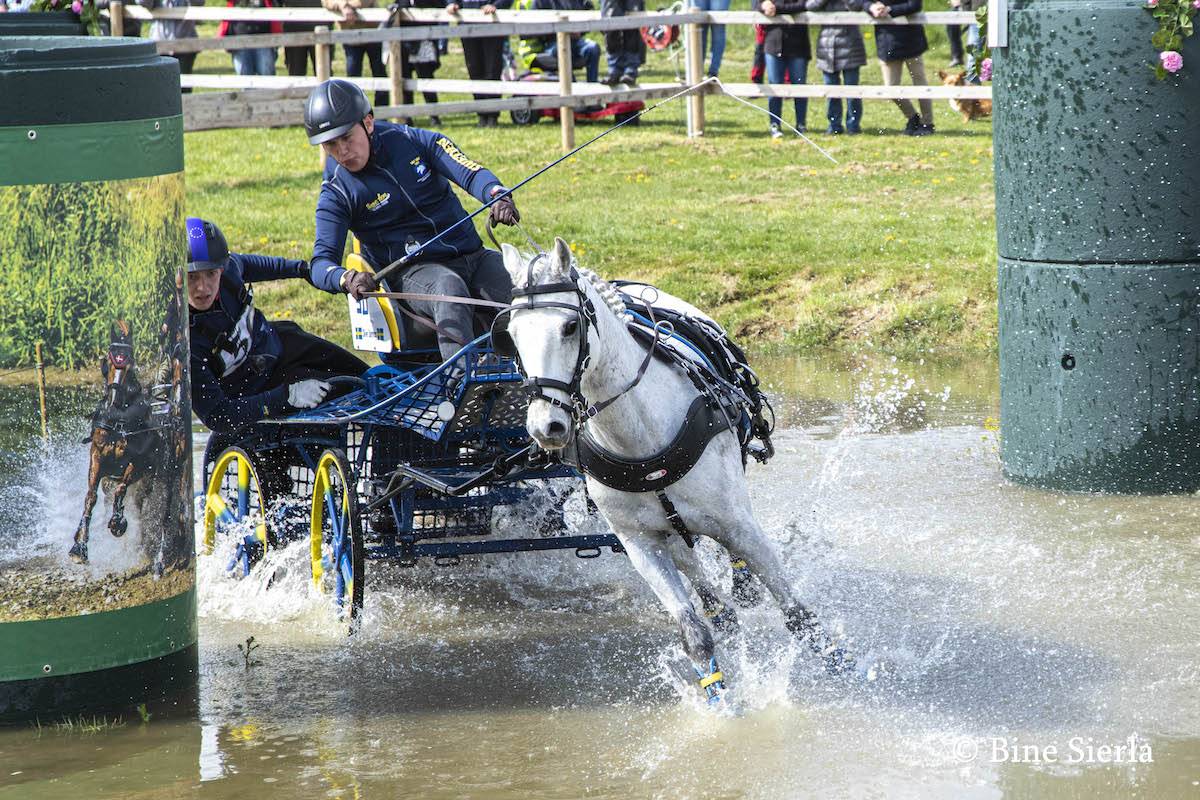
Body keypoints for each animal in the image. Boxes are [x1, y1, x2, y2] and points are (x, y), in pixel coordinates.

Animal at [69, 321, 164, 565]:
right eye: (110, 361)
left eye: (129, 363)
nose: (112, 402)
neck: (119, 420)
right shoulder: (97, 457)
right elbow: (90, 497)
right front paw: (79, 546)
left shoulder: (136, 463)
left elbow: (122, 488)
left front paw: (117, 524)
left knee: (137, 500)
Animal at [496, 239, 852, 704]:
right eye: (512, 334)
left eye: (570, 327)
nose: (546, 426)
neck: (639, 440)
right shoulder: (640, 544)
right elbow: (693, 632)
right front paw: (720, 700)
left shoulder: (739, 526)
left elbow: (795, 612)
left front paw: (843, 664)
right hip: (666, 528)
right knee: (690, 563)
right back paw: (720, 609)